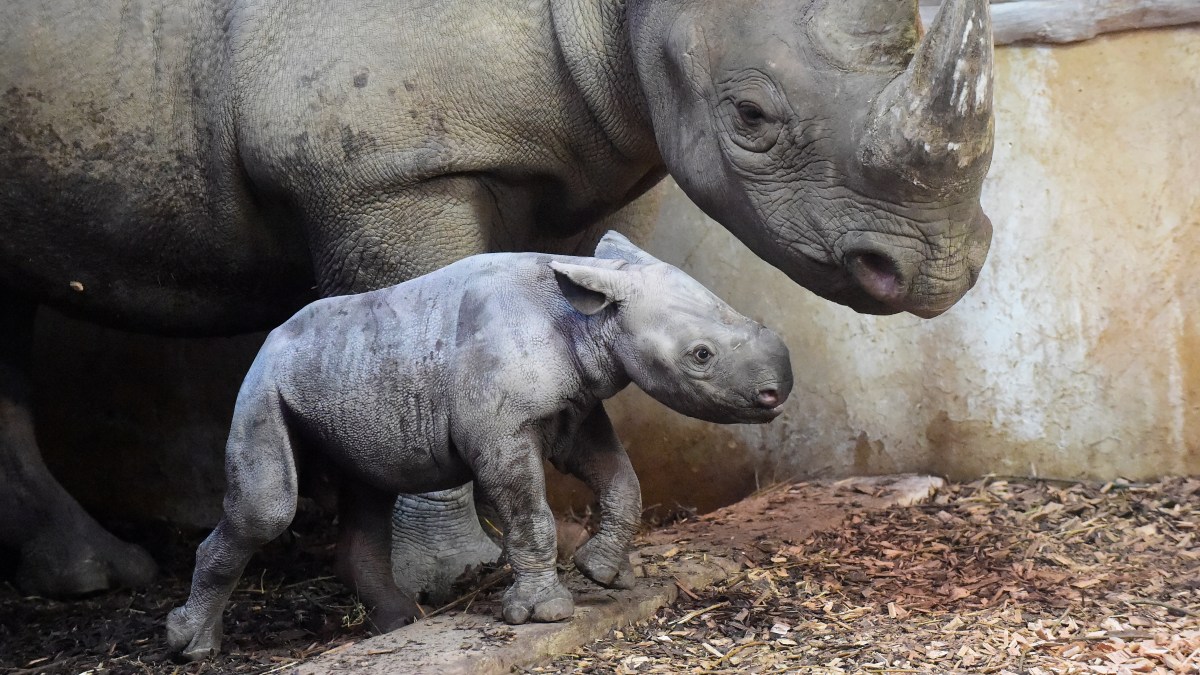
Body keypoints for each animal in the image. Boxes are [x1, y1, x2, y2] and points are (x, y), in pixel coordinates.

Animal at [0, 0, 994, 599]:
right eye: (749, 117)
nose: (940, 272)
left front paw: (562, 531)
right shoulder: (383, 170)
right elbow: (404, 326)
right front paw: (454, 573)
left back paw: (93, 576)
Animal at [165, 232, 793, 659]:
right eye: (701, 356)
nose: (775, 393)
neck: (588, 318)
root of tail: (270, 338)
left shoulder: (576, 407)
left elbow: (620, 478)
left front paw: (604, 575)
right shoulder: (501, 432)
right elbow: (530, 513)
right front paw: (543, 614)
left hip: (348, 371)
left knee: (371, 485)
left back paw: (402, 623)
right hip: (264, 384)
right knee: (268, 510)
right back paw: (191, 646)